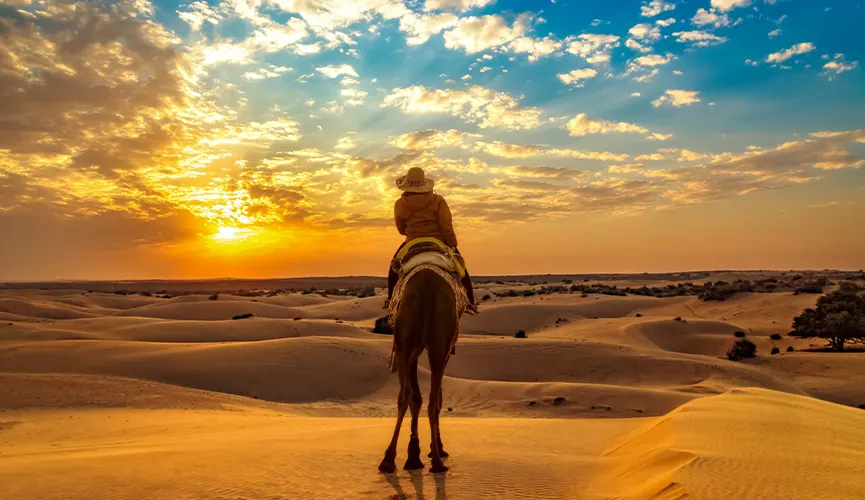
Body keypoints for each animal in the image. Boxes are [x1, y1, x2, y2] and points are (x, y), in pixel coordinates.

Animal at [378, 267, 458, 474]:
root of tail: (427, 284)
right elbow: (428, 398)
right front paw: (419, 452)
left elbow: (418, 397)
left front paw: (415, 453)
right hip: (431, 343)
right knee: (427, 398)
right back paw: (435, 460)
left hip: (409, 343)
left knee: (408, 395)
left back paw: (390, 459)